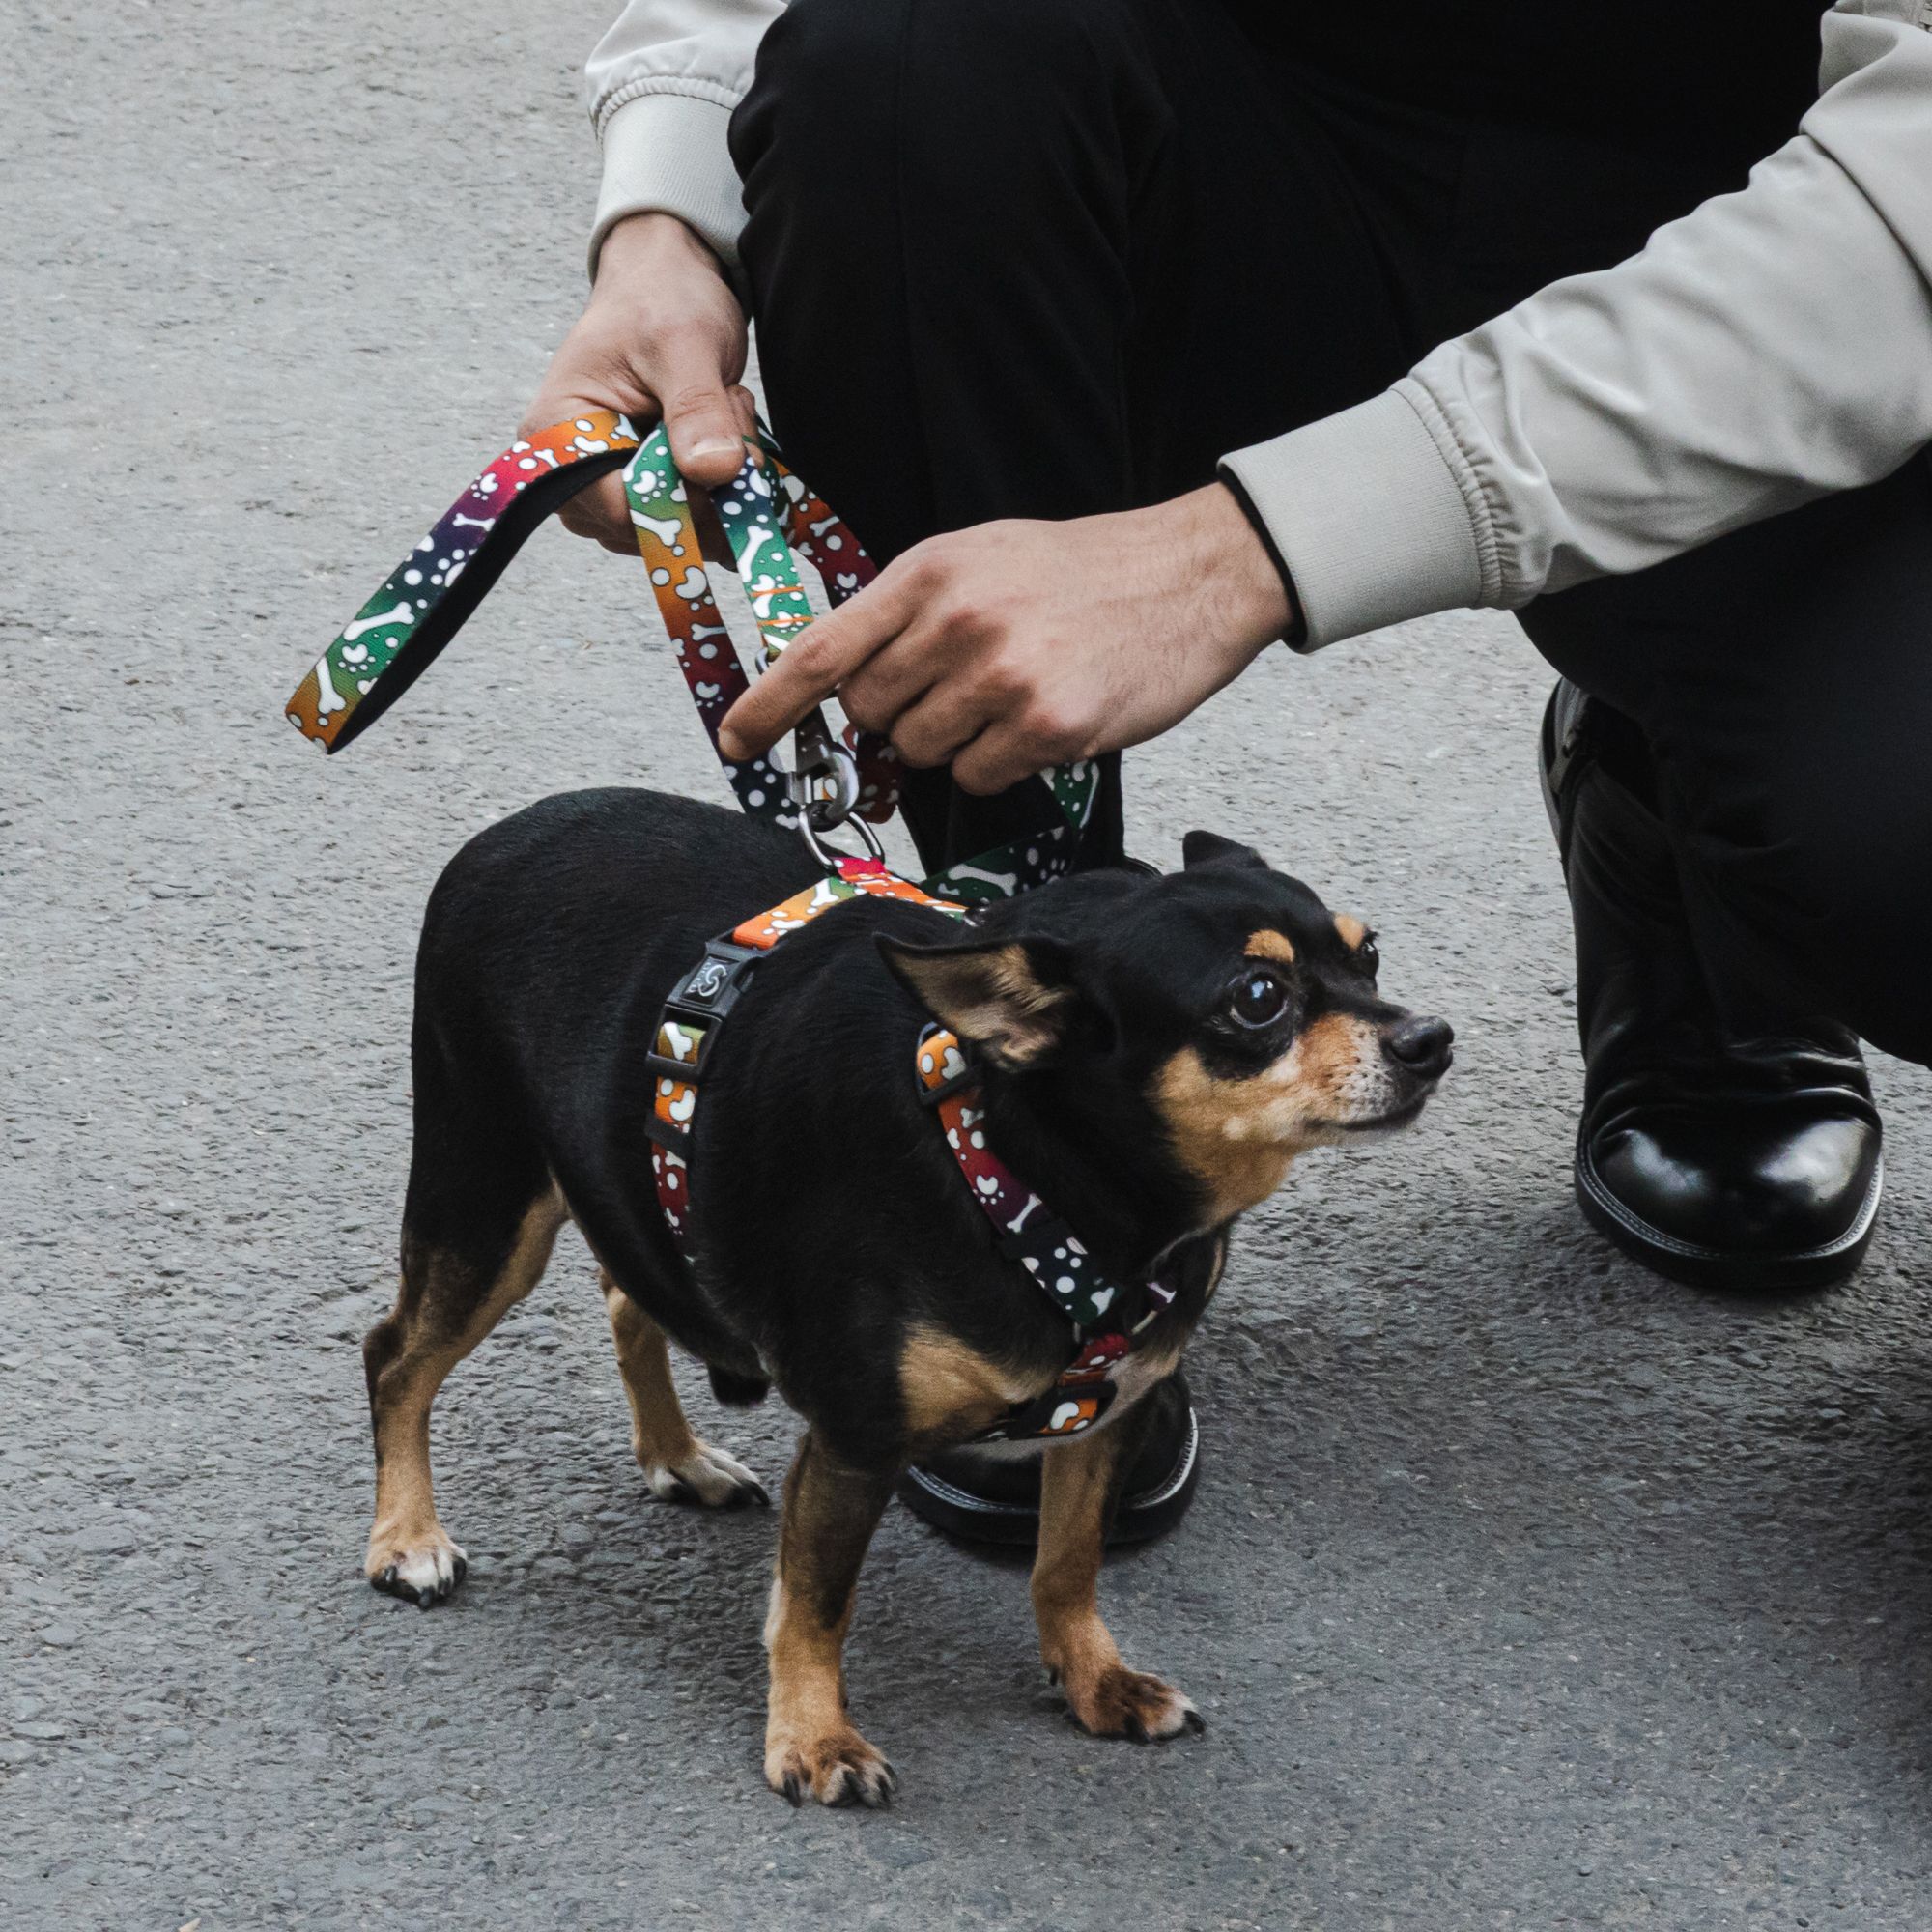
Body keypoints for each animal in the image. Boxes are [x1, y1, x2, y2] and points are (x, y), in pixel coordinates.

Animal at [363, 781, 1453, 1793]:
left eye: (1368, 955)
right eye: (1257, 997)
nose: (1430, 1038)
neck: (1031, 1172)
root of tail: (513, 829)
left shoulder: (1107, 1416)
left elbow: (1068, 1563)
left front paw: (1094, 1681)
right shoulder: (855, 1442)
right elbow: (816, 1603)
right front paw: (813, 1737)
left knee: (630, 1294)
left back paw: (675, 1455)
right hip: (485, 1203)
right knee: (396, 1358)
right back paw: (406, 1536)